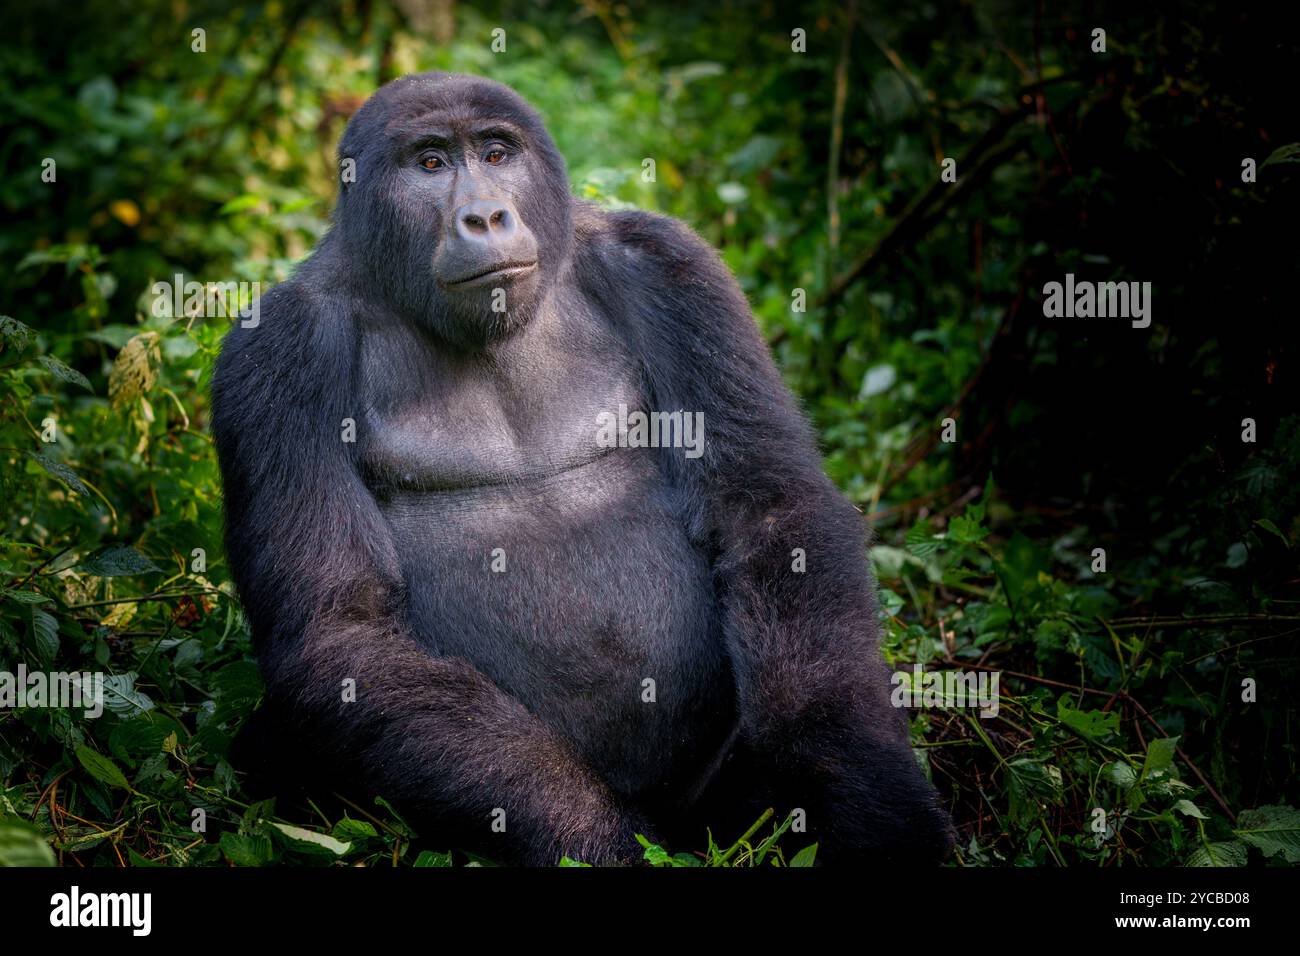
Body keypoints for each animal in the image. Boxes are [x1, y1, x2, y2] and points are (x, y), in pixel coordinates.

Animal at [208, 72, 951, 868]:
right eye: (431, 164)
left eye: (496, 153)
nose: (486, 215)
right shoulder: (277, 351)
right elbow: (342, 632)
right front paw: (597, 843)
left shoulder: (667, 263)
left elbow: (770, 505)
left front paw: (863, 796)